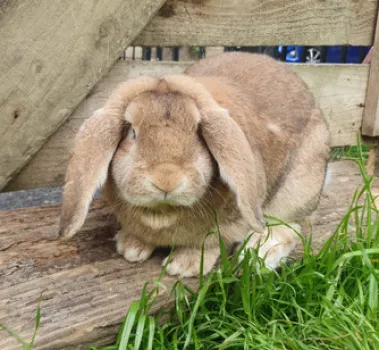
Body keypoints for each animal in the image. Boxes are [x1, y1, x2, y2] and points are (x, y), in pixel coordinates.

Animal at [58, 52, 330, 276]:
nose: (166, 180)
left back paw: (258, 255)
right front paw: (131, 248)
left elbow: (208, 242)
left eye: (198, 133)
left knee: (290, 226)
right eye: (132, 133)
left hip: (296, 189)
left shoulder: (229, 227)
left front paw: (183, 267)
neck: (163, 213)